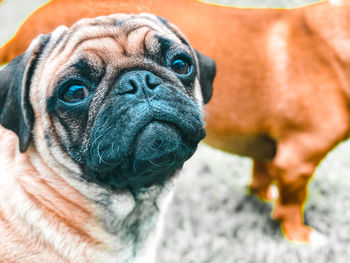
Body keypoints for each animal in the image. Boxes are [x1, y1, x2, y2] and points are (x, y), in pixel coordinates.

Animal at [1, 0, 348, 243]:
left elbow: (261, 174)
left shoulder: (271, 152)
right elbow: (293, 203)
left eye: (181, 64)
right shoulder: (297, 162)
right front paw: (299, 236)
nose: (139, 81)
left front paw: (261, 197)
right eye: (75, 91)